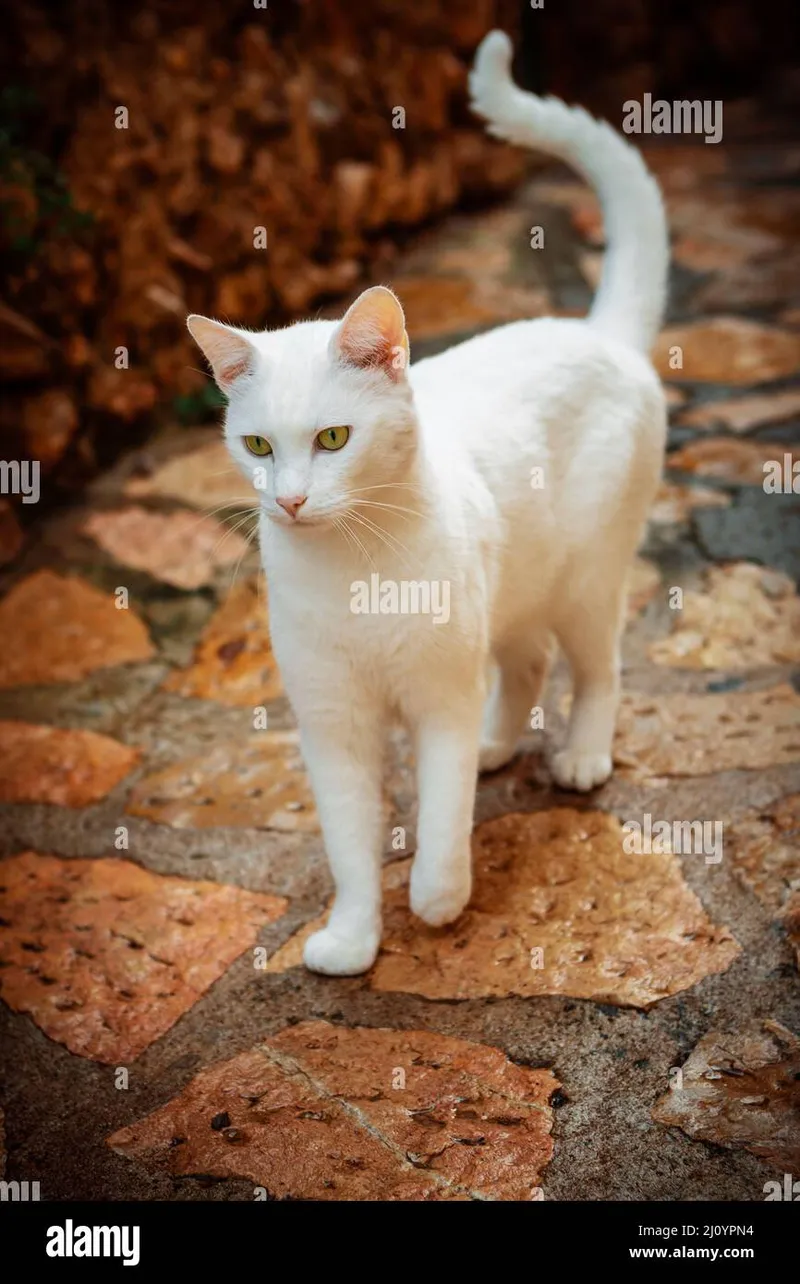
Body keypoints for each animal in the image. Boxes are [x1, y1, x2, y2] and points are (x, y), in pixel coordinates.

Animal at [187, 30, 667, 970]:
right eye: (258, 447)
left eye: (333, 439)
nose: (289, 501)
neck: (353, 572)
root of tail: (596, 332)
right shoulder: (333, 724)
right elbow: (349, 842)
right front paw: (354, 937)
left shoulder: (437, 697)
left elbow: (441, 818)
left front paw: (440, 899)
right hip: (514, 592)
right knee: (527, 663)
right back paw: (496, 746)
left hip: (587, 581)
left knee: (597, 667)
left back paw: (580, 755)